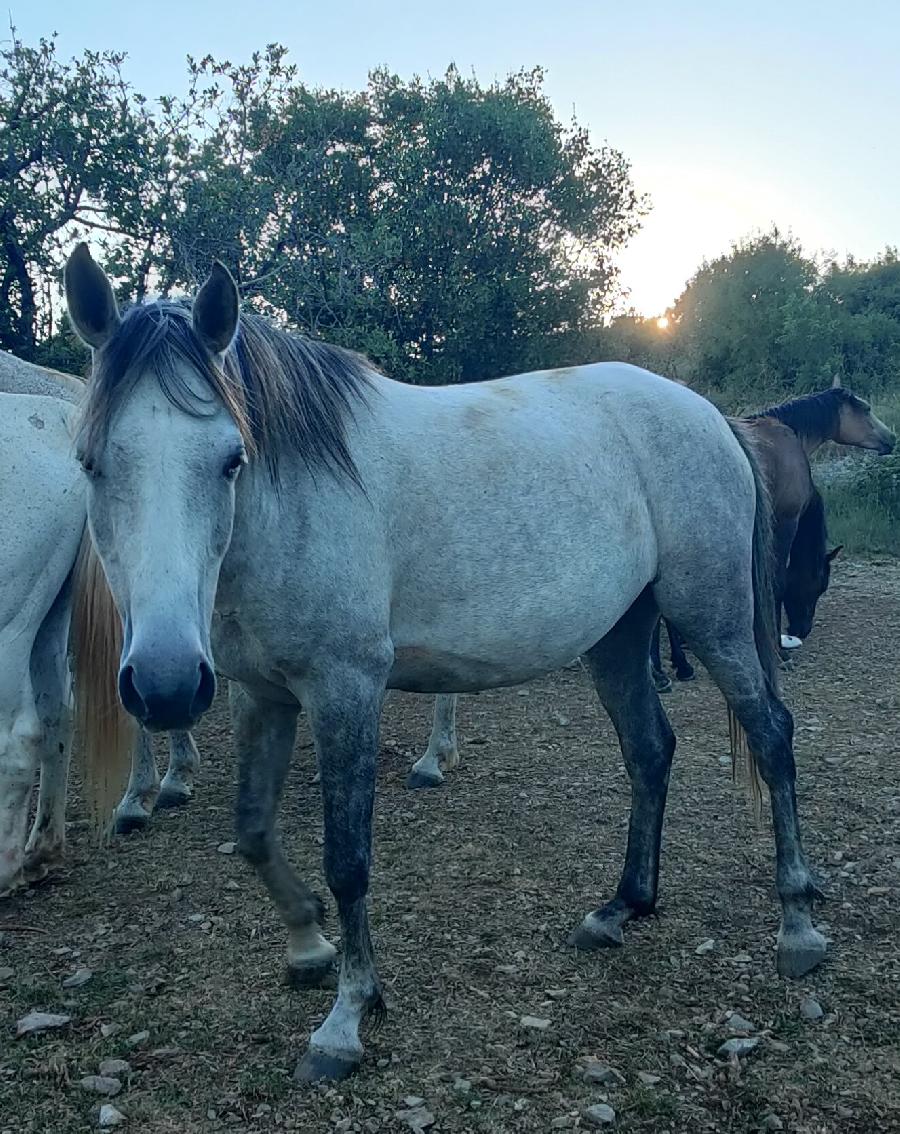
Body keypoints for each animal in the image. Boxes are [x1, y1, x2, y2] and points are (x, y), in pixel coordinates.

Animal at [65, 244, 827, 1083]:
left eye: (232, 460)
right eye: (91, 463)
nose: (165, 685)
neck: (289, 504)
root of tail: (709, 416)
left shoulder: (345, 689)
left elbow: (348, 859)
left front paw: (346, 1018)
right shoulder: (261, 694)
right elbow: (255, 832)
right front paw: (308, 945)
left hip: (712, 619)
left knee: (771, 737)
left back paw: (797, 924)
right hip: (620, 636)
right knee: (651, 749)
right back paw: (621, 907)